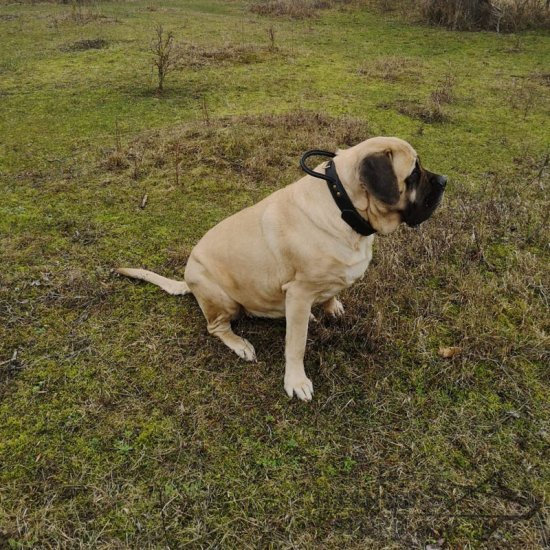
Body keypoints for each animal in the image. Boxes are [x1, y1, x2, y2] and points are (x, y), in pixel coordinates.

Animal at [117, 138, 448, 404]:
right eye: (414, 173)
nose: (444, 180)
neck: (344, 207)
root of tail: (187, 279)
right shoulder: (299, 293)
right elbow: (296, 346)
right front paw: (296, 381)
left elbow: (330, 295)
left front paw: (331, 306)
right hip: (221, 299)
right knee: (216, 327)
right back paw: (240, 344)